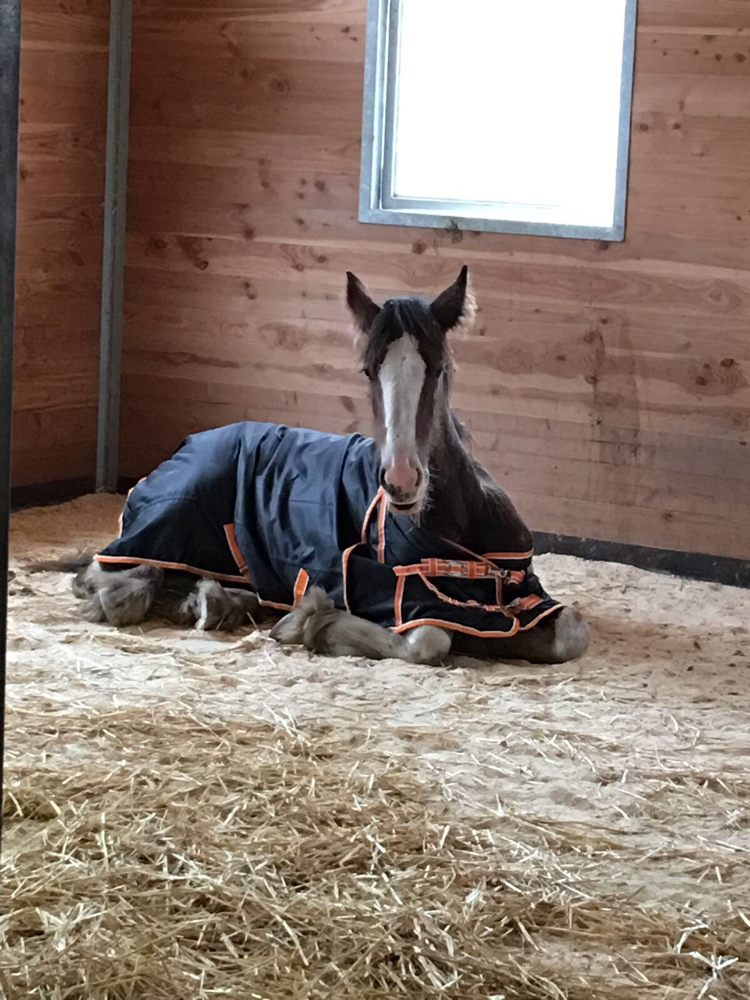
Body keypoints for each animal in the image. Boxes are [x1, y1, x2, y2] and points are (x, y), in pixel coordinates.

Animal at [48, 270, 592, 668]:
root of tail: (185, 446)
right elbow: (428, 641)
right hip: (162, 529)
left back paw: (221, 602)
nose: (401, 481)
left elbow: (571, 634)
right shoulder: (393, 591)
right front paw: (315, 623)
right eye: (370, 371)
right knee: (107, 575)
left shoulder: (520, 597)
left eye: (438, 368)